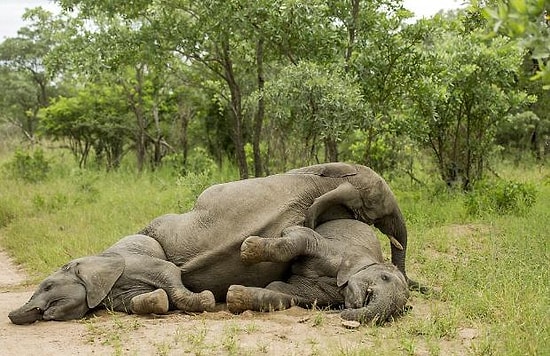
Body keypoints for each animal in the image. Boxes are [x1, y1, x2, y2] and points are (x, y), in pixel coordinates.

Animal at [9, 235, 216, 324]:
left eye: (48, 287)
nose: (10, 316)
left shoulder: (134, 263)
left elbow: (169, 270)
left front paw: (207, 297)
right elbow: (132, 302)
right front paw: (158, 299)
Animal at [226, 218, 412, 324]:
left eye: (395, 312)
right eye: (384, 277)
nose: (344, 312)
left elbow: (285, 295)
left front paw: (235, 297)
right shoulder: (335, 249)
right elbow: (302, 236)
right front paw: (248, 248)